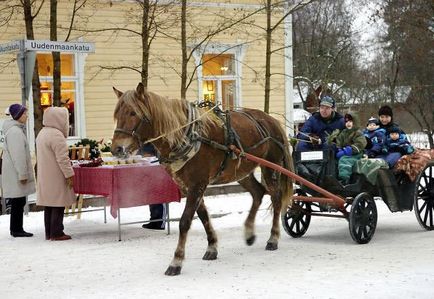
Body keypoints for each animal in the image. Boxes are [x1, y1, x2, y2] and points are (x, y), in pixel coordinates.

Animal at [112, 82, 294, 276]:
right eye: (117, 114)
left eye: (133, 113)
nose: (116, 149)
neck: (187, 136)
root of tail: (271, 120)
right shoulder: (187, 186)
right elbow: (203, 215)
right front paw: (212, 247)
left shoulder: (197, 184)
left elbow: (185, 221)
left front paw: (176, 261)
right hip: (240, 171)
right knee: (258, 193)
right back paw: (249, 232)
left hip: (270, 167)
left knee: (275, 198)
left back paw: (273, 238)